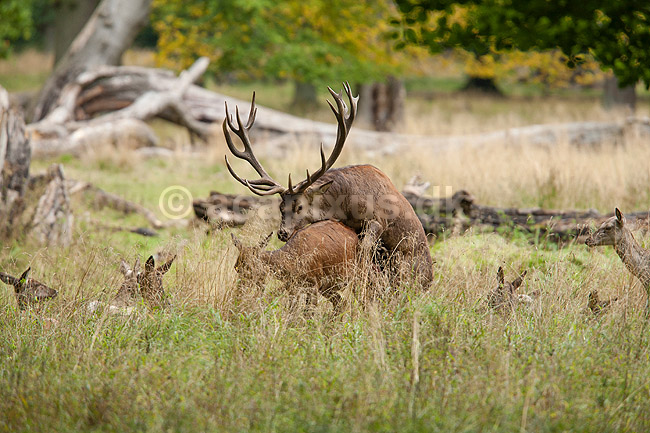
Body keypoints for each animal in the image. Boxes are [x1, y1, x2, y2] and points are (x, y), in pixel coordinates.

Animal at [223, 83, 433, 288]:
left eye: (300, 207)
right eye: (281, 207)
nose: (283, 232)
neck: (344, 207)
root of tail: (430, 279)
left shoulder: (377, 219)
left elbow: (365, 249)